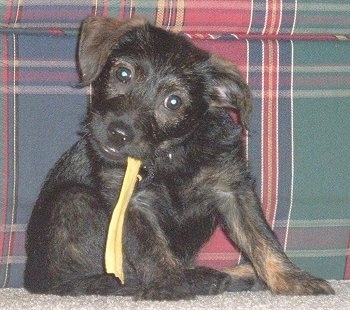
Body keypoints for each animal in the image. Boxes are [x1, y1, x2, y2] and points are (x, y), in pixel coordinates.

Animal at [23, 15, 334, 300]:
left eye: (173, 102)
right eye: (123, 74)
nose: (118, 132)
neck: (172, 154)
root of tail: (36, 281)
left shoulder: (232, 188)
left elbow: (262, 238)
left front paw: (292, 279)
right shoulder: (130, 201)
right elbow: (150, 247)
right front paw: (171, 284)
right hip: (74, 201)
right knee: (104, 279)